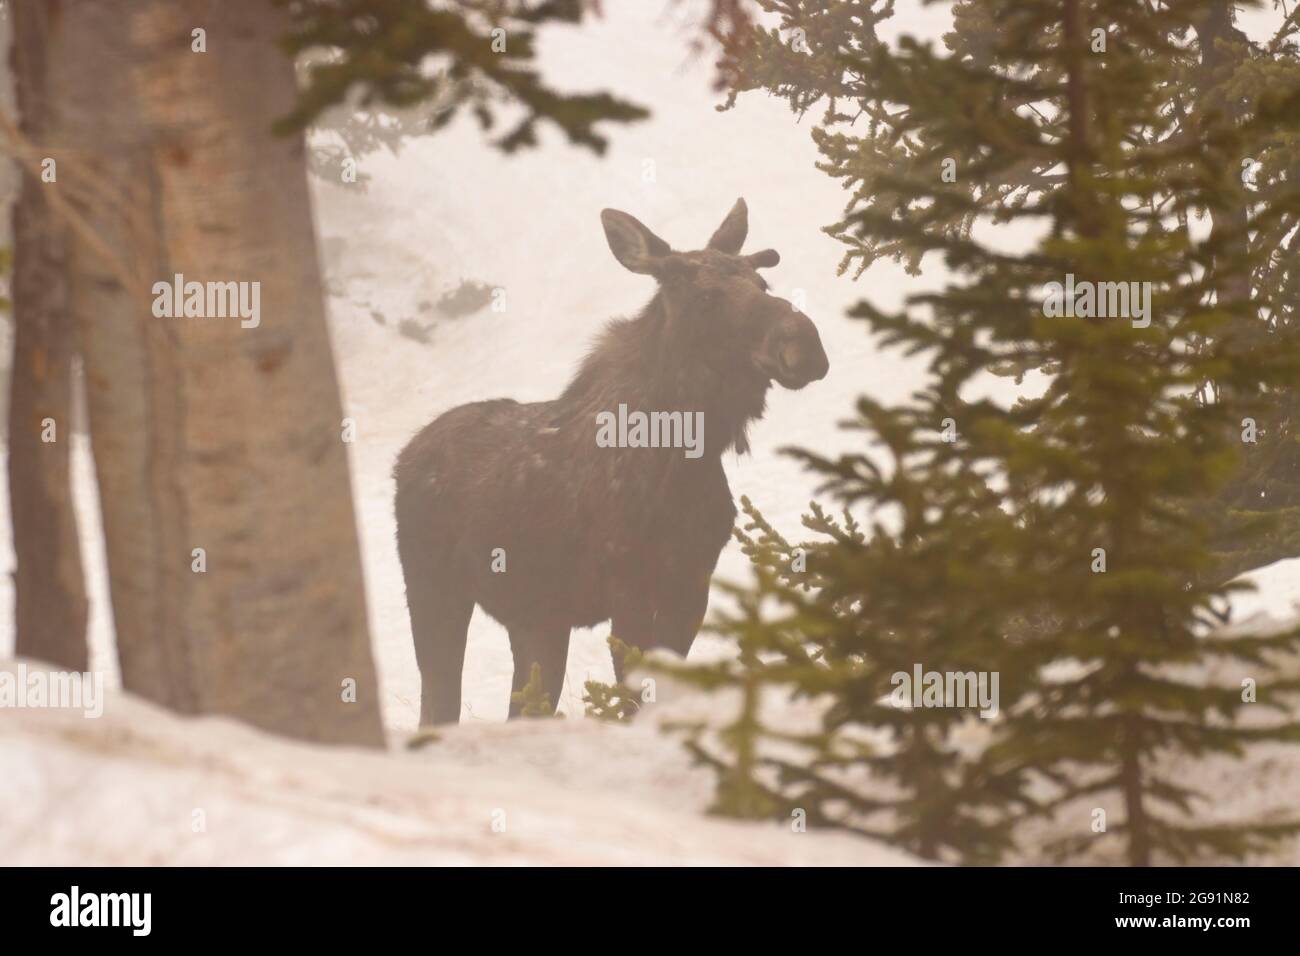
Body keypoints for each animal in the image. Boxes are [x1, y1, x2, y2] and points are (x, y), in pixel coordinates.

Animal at [390, 201, 826, 723]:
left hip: (537, 616)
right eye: (704, 296)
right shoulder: (629, 584)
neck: (685, 459)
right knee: (438, 705)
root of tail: (404, 458)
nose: (805, 344)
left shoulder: (692, 581)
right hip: (433, 588)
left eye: (762, 284)